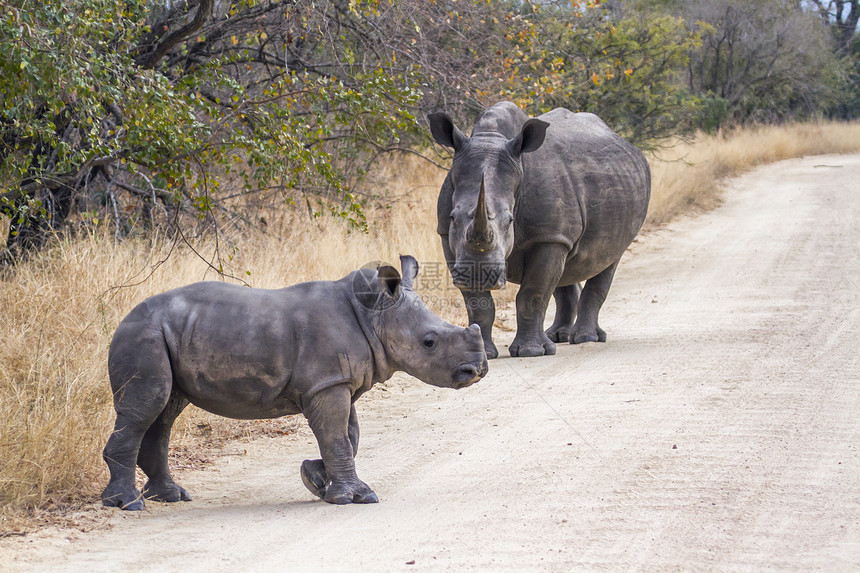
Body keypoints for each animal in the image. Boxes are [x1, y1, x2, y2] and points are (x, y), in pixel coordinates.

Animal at [102, 256, 484, 510]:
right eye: (429, 342)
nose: (477, 370)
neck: (374, 315)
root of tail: (122, 320)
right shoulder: (327, 384)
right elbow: (338, 437)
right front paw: (351, 498)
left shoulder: (336, 381)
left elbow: (348, 435)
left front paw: (316, 479)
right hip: (143, 335)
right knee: (147, 406)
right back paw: (128, 504)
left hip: (166, 334)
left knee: (165, 411)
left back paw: (170, 496)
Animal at [430, 100, 652, 356]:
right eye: (453, 217)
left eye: (510, 221)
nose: (479, 274)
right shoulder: (447, 237)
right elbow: (478, 303)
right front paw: (484, 353)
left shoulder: (548, 236)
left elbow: (533, 294)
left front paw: (531, 351)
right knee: (566, 270)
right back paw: (558, 336)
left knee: (608, 260)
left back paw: (585, 338)